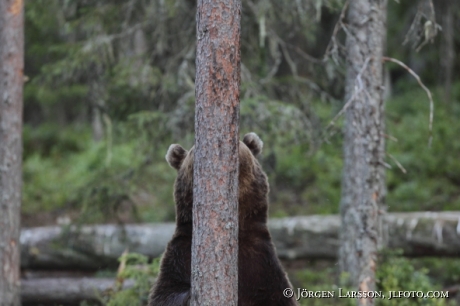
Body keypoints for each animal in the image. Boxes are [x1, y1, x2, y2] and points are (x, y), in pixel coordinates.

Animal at [148, 132, 298, 306]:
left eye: (238, 144)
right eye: (194, 151)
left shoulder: (263, 267)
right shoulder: (180, 256)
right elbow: (166, 293)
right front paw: (191, 295)